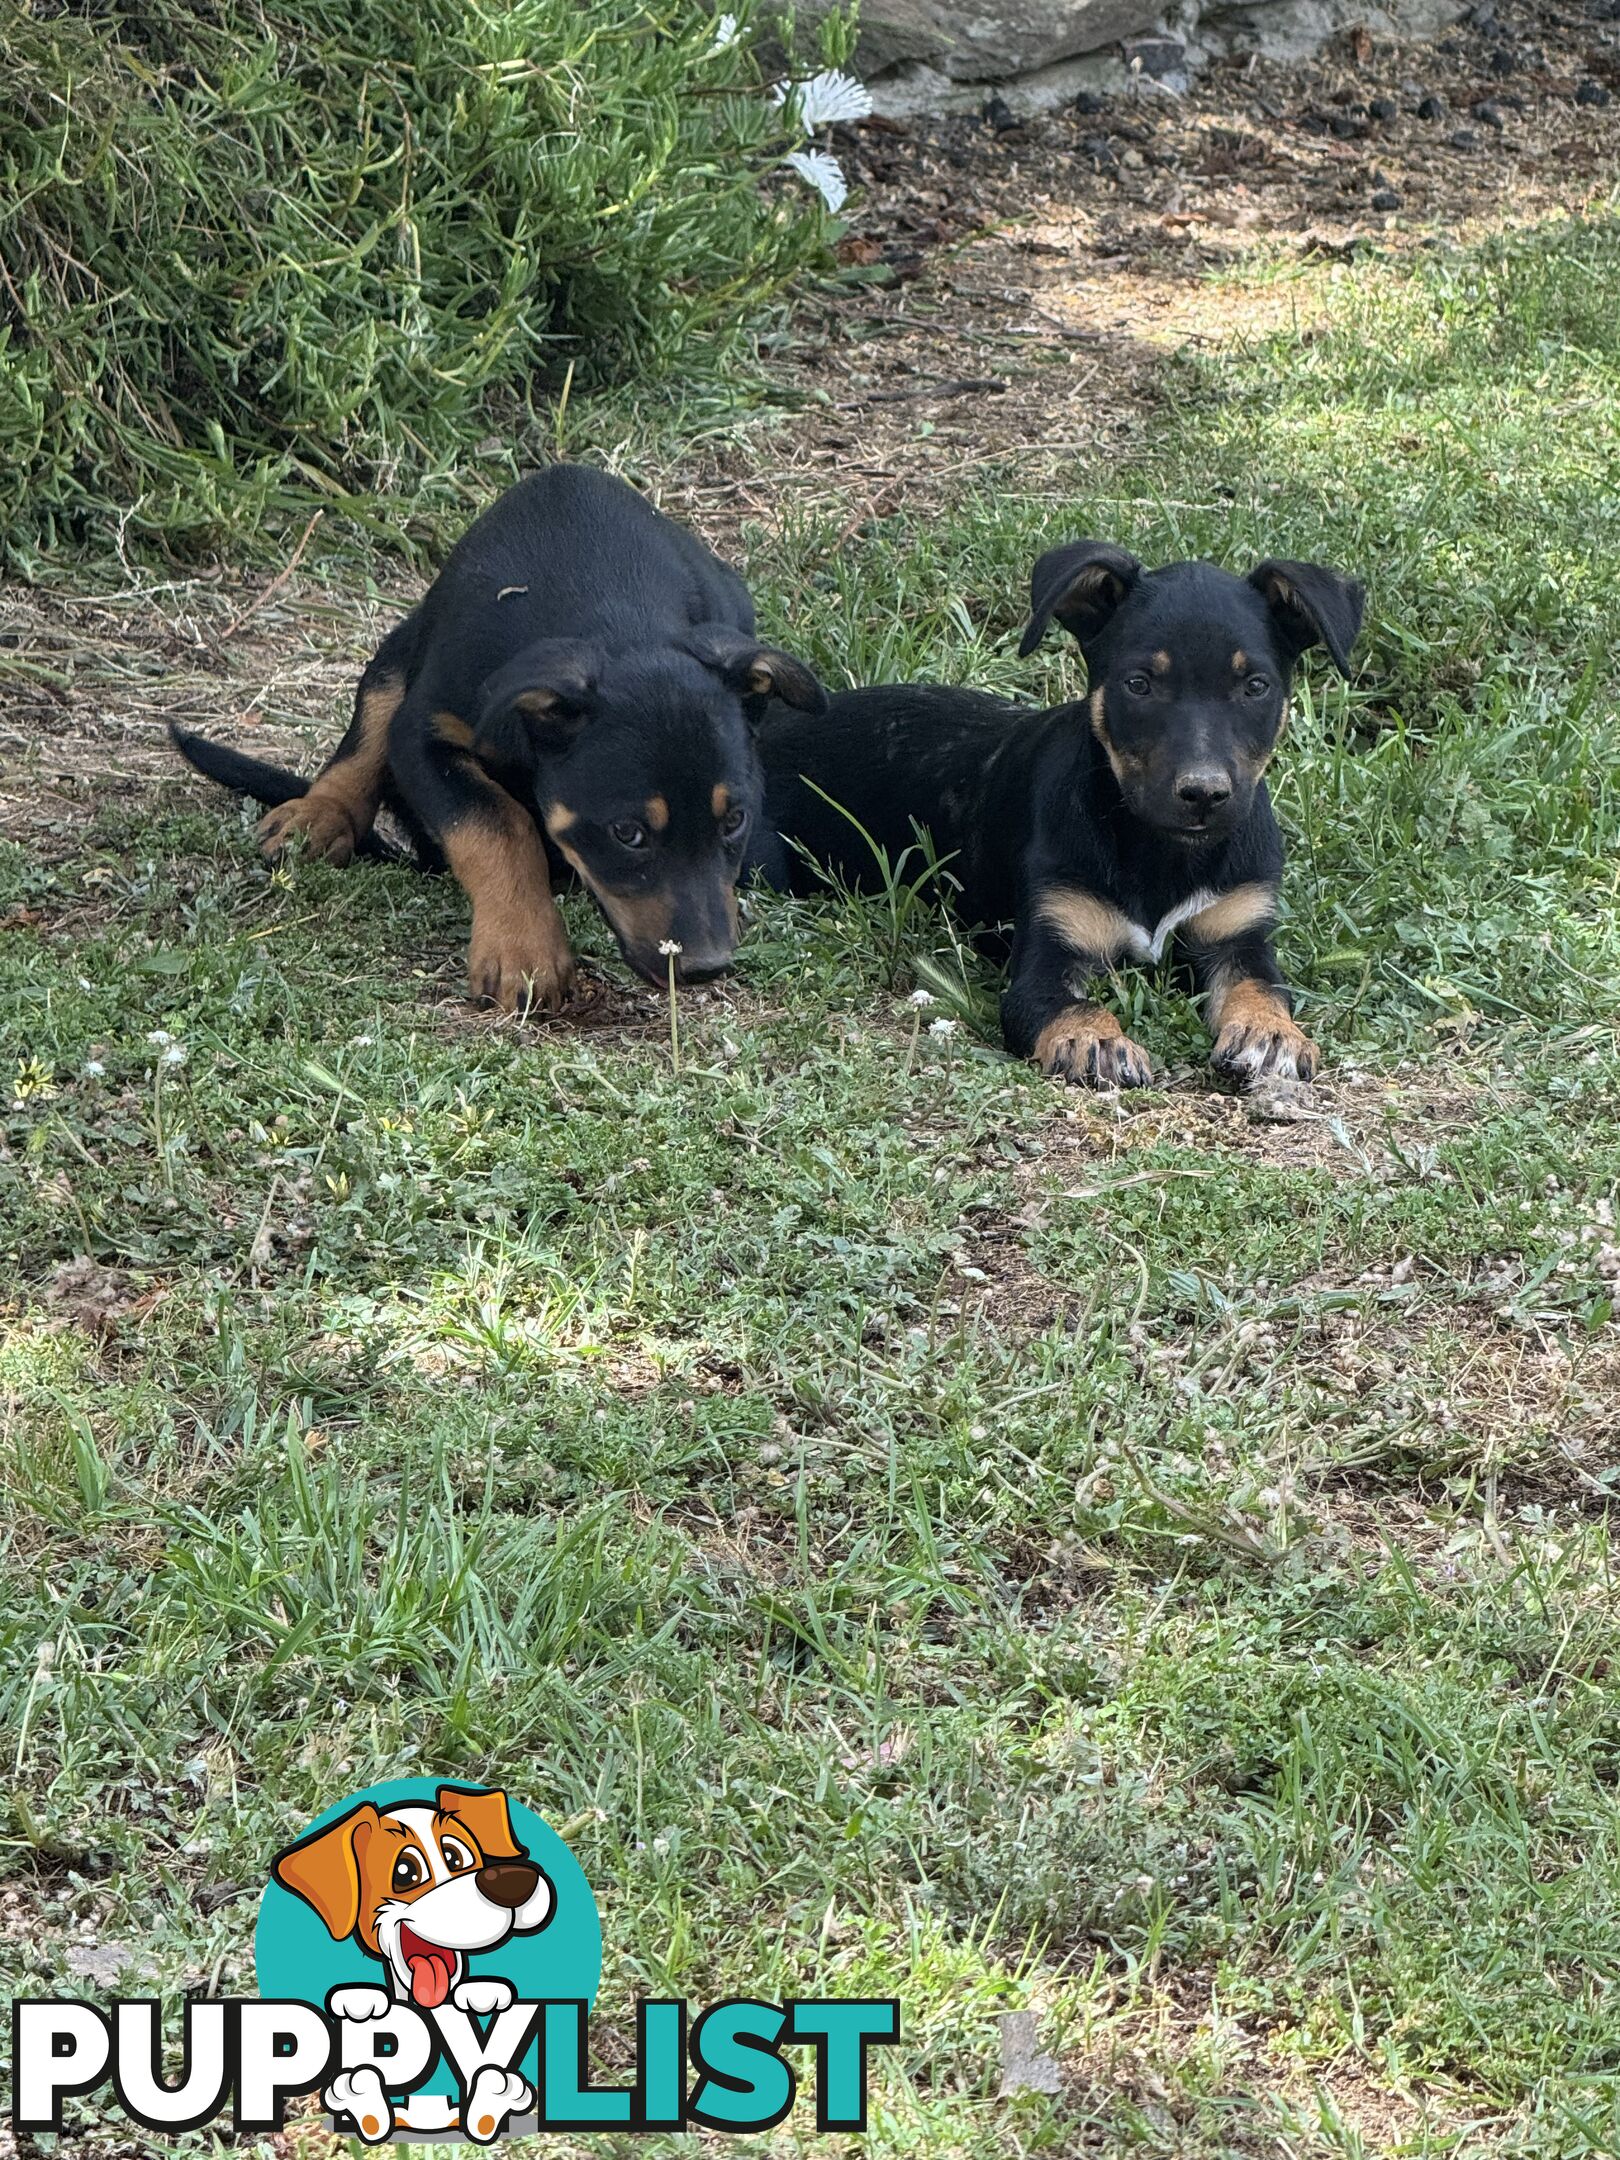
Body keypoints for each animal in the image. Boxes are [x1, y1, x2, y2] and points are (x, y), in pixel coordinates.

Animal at [176, 464, 825, 1002]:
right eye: (628, 833)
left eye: (735, 819)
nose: (708, 967)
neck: (611, 607)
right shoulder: (423, 735)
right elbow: (497, 825)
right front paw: (525, 951)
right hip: (400, 647)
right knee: (366, 730)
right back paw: (317, 815)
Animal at [756, 533, 1365, 1088]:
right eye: (1138, 684)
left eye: (1255, 686)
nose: (1203, 794)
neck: (1160, 850)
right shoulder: (1045, 958)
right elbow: (1069, 1004)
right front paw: (1094, 1040)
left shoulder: (1240, 934)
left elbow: (1261, 988)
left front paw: (1271, 1033)